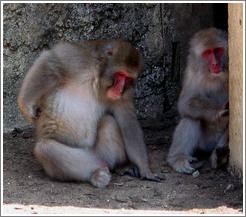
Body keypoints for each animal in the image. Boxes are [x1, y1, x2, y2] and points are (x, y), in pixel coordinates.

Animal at [18, 39, 164, 187]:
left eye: (128, 78)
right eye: (120, 74)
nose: (120, 90)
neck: (98, 78)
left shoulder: (124, 95)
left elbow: (127, 121)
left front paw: (145, 168)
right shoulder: (78, 58)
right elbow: (50, 61)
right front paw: (25, 105)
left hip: (100, 154)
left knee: (109, 122)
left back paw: (119, 166)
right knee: (46, 149)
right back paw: (96, 174)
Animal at [166, 28, 230, 174]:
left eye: (217, 50)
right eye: (208, 52)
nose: (215, 63)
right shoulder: (192, 70)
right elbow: (185, 103)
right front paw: (217, 110)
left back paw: (219, 157)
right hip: (204, 142)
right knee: (191, 117)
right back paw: (177, 158)